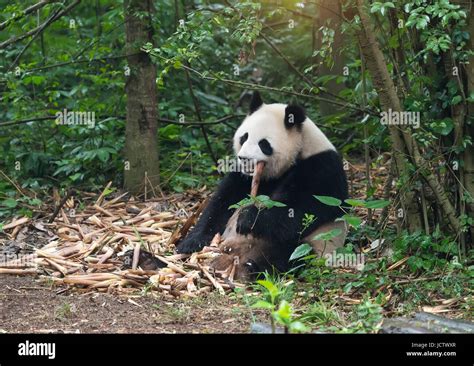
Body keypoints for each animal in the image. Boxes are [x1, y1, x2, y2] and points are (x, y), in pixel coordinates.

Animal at [177, 91, 348, 280]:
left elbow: (299, 210)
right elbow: (221, 204)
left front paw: (248, 218)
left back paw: (254, 266)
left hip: (319, 243)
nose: (243, 158)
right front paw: (191, 242)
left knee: (292, 253)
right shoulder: (243, 176)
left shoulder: (322, 169)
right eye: (244, 137)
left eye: (263, 143)